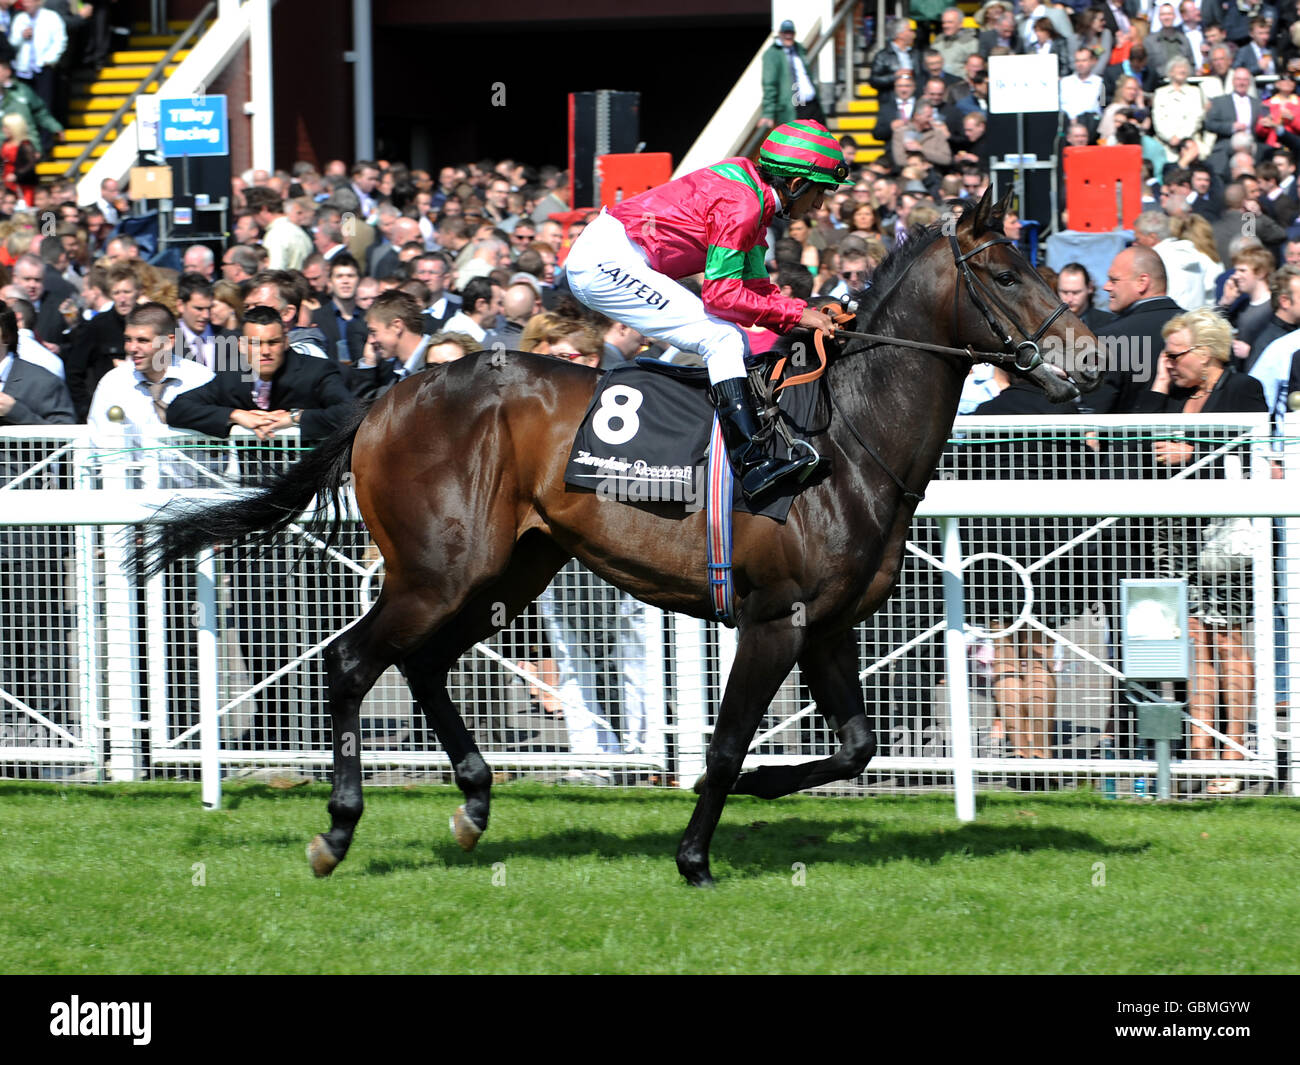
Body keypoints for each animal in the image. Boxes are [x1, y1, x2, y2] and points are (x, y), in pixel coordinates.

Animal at [142, 189, 1097, 884]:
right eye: (1005, 273)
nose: (1087, 357)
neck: (842, 438)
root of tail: (384, 396)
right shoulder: (774, 618)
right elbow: (726, 741)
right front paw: (696, 855)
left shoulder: (826, 624)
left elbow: (858, 746)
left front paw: (764, 787)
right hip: (439, 569)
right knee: (352, 662)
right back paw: (338, 831)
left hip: (509, 570)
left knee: (422, 663)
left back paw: (474, 803)